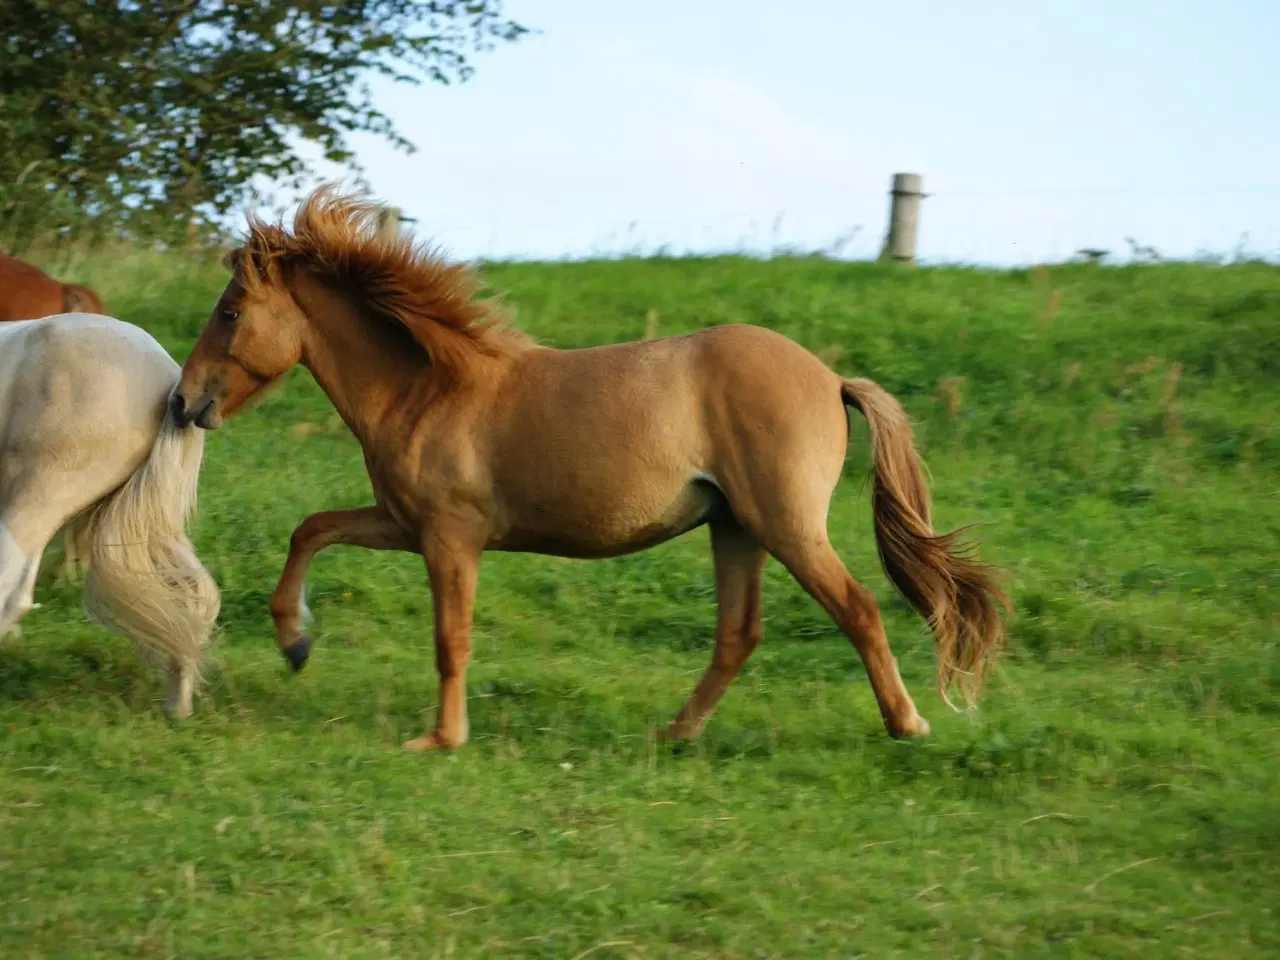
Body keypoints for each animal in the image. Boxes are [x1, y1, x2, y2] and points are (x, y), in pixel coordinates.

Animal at [172, 188, 1008, 757]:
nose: (183, 401)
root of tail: (832, 378)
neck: (430, 388)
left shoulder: (449, 537)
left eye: (229, 311)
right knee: (737, 634)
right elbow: (310, 529)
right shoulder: (403, 524)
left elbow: (451, 637)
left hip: (785, 525)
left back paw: (907, 722)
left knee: (857, 608)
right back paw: (674, 734)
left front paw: (440, 739)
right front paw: (294, 641)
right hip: (736, 528)